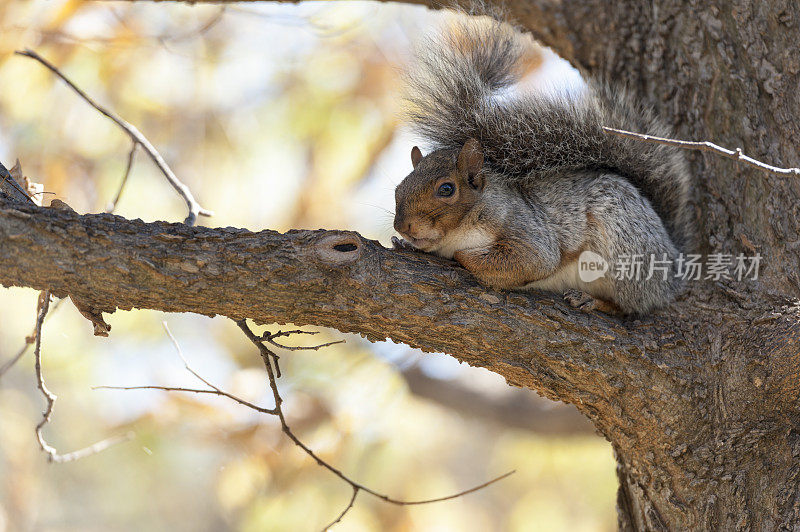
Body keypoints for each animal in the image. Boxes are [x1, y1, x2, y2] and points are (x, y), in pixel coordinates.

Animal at [394, 15, 692, 316]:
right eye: (398, 189)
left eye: (446, 189)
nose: (402, 226)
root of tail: (672, 264)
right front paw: (404, 244)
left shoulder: (523, 227)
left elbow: (533, 260)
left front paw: (461, 255)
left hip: (627, 251)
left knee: (630, 305)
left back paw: (593, 300)